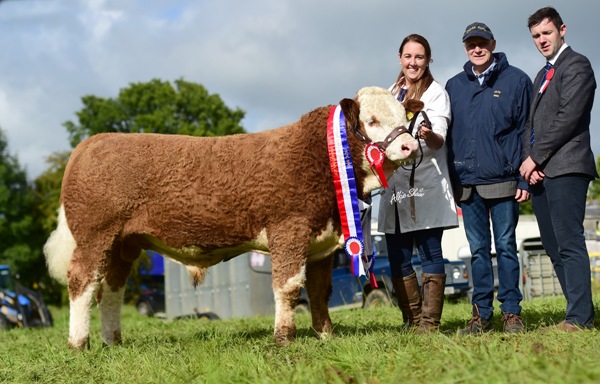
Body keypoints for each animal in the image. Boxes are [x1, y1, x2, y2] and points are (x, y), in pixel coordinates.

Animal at [44, 85, 418, 350]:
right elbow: (288, 288)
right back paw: (79, 343)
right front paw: (284, 338)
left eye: (404, 117)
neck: (322, 156)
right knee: (82, 282)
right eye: (371, 121)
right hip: (95, 235)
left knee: (111, 290)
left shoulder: (322, 244)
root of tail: (93, 142)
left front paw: (326, 336)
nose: (410, 146)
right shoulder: (289, 229)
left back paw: (113, 341)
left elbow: (320, 290)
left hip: (124, 244)